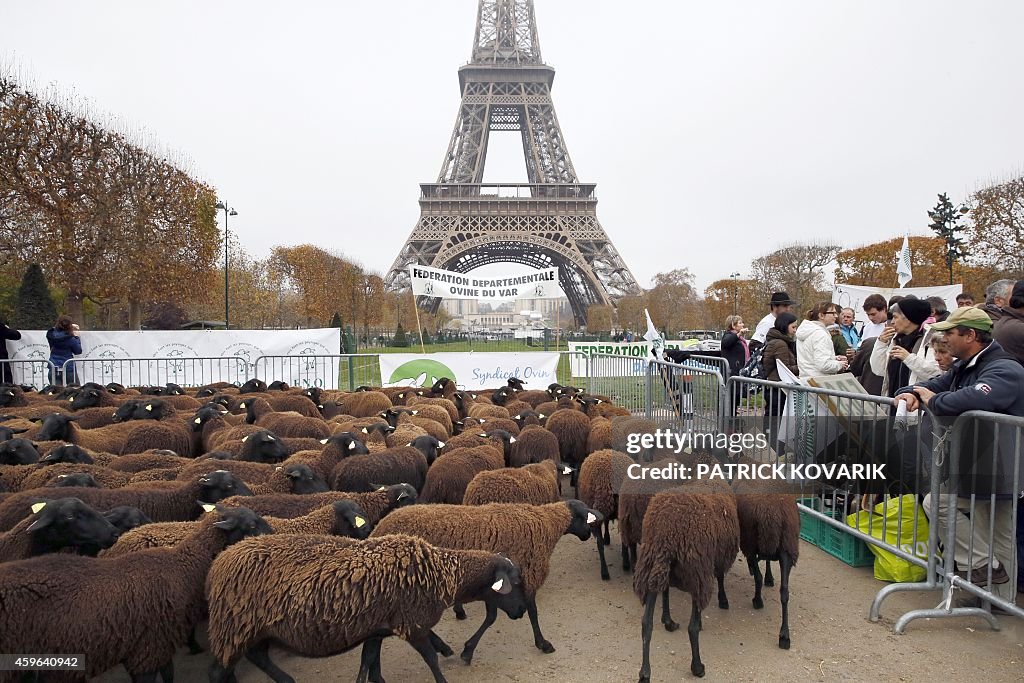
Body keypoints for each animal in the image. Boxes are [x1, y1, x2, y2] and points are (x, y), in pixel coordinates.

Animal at [204, 532, 528, 683]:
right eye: (514, 582)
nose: (521, 612)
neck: (440, 573)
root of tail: (220, 562)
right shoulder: (414, 626)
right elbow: (431, 660)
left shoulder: (376, 629)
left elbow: (368, 661)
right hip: (234, 626)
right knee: (219, 671)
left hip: (252, 629)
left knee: (259, 656)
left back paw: (287, 680)